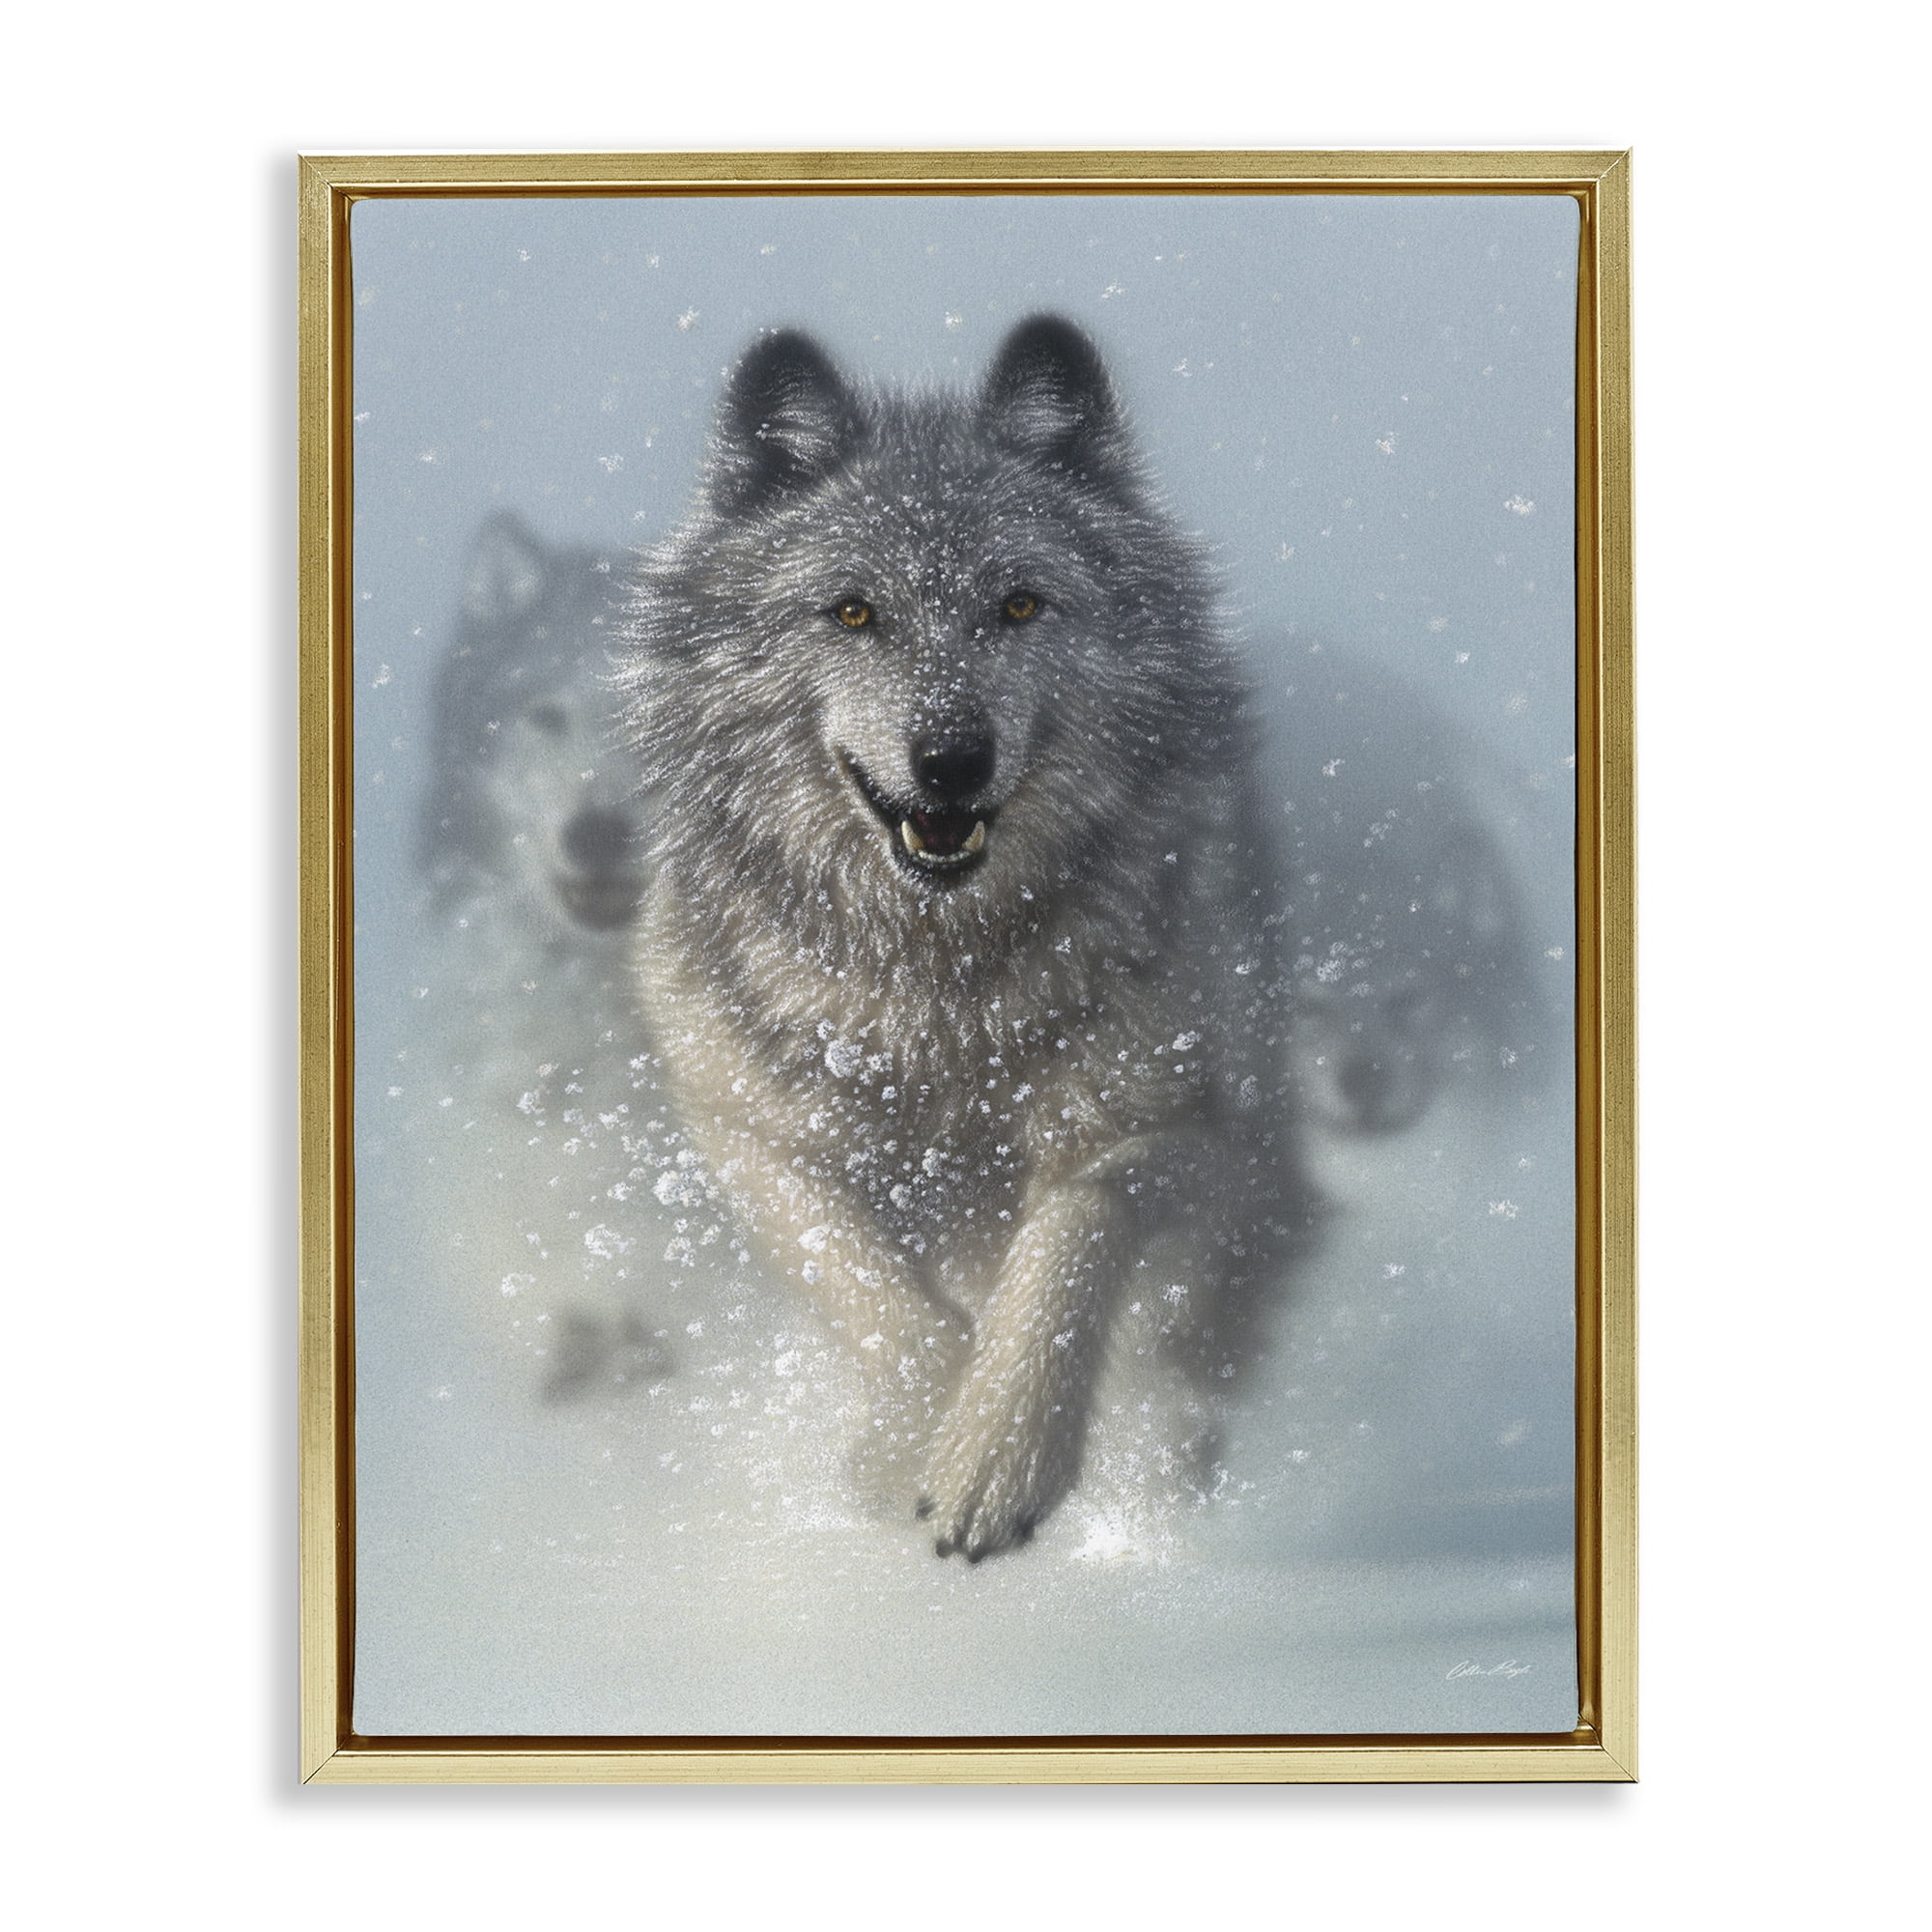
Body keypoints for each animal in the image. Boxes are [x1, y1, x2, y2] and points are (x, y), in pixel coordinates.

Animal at [617, 317, 1303, 1560]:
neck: (935, 994)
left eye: (1019, 606)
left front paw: (996, 1455)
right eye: (851, 612)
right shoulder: (742, 1130)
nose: (949, 758)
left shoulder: (1189, 1128)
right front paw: (910, 1441)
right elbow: (874, 1290)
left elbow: (1071, 1233)